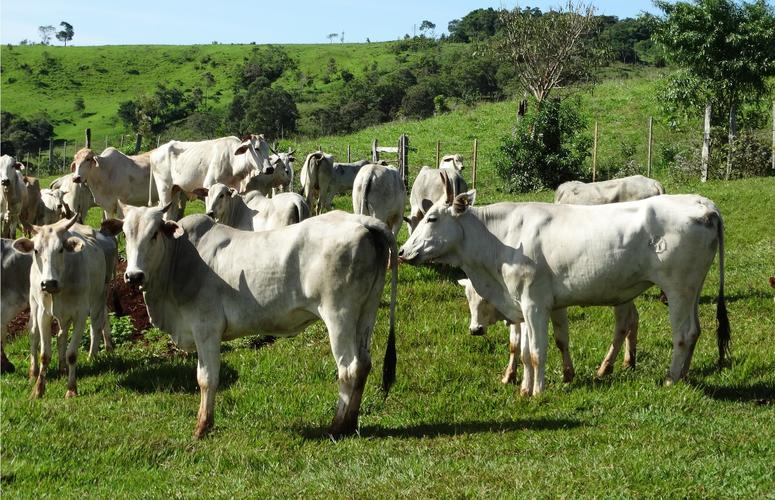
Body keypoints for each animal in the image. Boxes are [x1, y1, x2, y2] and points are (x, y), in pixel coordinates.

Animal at [12, 217, 116, 400]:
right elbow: (44, 355)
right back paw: (34, 372)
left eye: (60, 249)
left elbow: (72, 354)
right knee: (35, 333)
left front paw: (71, 388)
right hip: (34, 303)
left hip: (99, 297)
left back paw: (85, 360)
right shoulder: (43, 314)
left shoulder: (80, 314)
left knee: (93, 328)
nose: (48, 283)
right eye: (36, 250)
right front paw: (38, 389)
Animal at [106, 203, 398, 438]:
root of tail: (361, 220)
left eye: (154, 234)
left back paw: (337, 426)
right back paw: (351, 423)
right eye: (125, 234)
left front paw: (202, 427)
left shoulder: (206, 329)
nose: (133, 275)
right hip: (366, 311)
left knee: (348, 368)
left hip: (339, 315)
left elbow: (206, 378)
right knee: (364, 364)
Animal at [400, 188, 732, 398]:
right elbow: (525, 351)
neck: (499, 242)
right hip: (692, 288)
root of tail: (703, 204)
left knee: (682, 333)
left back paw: (670, 379)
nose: (402, 252)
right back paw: (682, 375)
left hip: (678, 288)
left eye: (432, 218)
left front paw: (537, 392)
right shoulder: (526, 305)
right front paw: (524, 389)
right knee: (694, 330)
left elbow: (536, 351)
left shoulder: (534, 303)